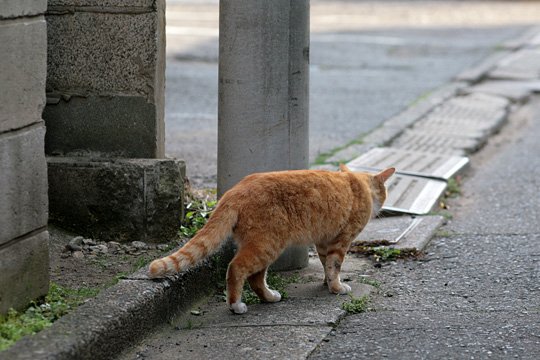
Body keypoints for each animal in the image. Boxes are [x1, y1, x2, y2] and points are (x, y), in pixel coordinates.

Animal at [150, 165, 394, 314]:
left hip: (265, 246)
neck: (359, 185)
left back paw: (268, 297)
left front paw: (327, 284)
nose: (382, 207)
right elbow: (335, 266)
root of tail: (234, 191)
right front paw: (336, 287)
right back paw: (236, 305)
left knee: (255, 279)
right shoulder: (340, 241)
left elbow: (327, 265)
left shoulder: (324, 241)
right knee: (237, 269)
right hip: (268, 245)